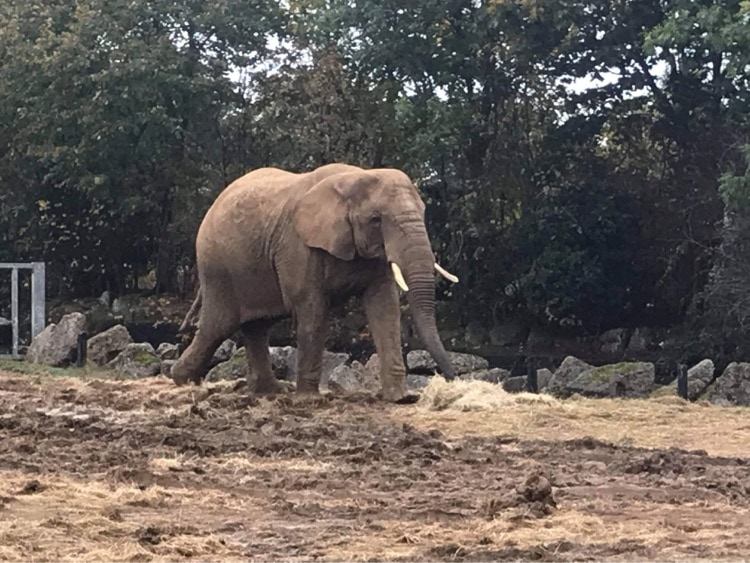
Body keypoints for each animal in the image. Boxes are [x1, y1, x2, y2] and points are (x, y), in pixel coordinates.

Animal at [171, 161, 462, 404]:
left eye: (423, 212)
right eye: (376, 219)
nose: (452, 378)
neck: (354, 177)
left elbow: (385, 307)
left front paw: (401, 398)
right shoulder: (298, 246)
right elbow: (312, 308)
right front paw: (309, 401)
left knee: (256, 326)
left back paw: (269, 391)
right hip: (217, 268)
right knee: (218, 325)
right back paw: (181, 379)